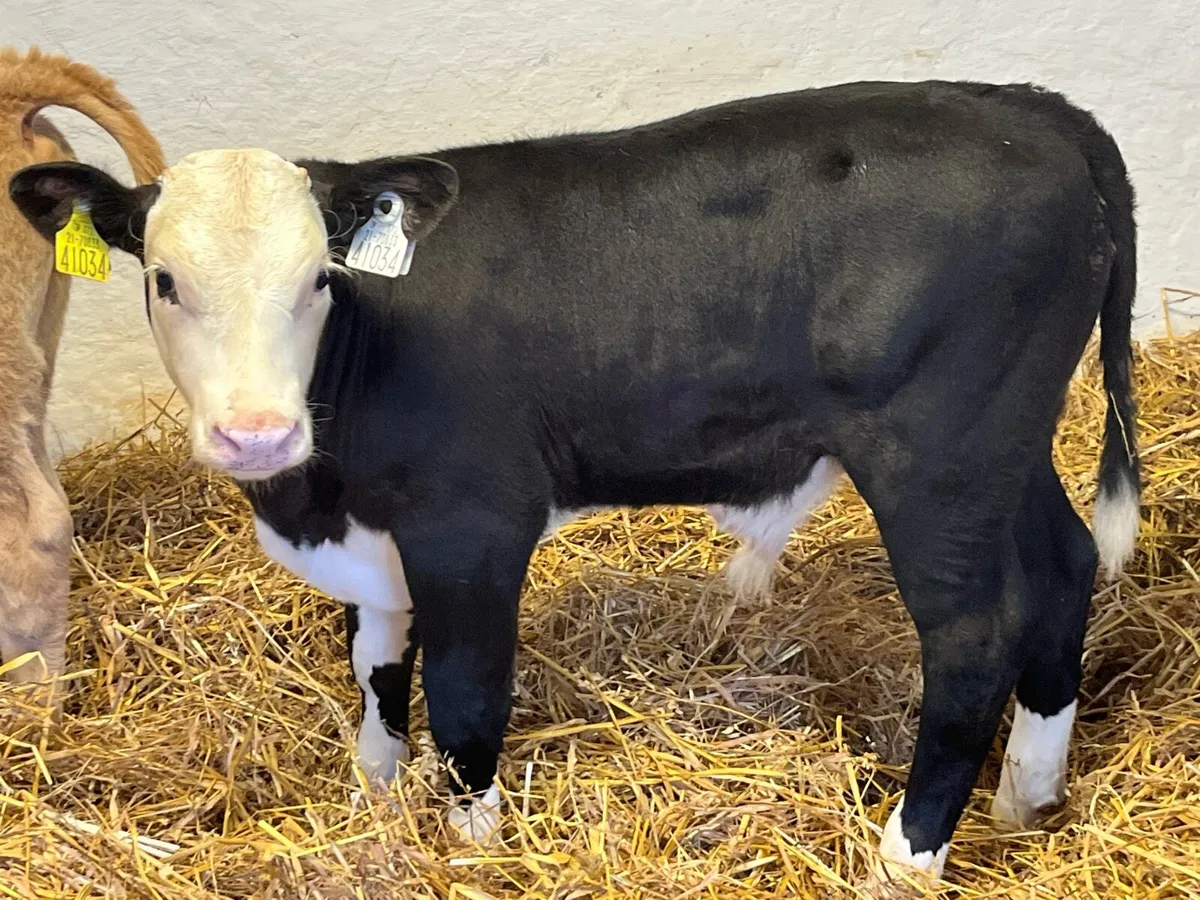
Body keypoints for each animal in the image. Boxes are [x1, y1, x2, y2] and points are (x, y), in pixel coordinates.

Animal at [10, 79, 1139, 882]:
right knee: (1065, 564)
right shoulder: (381, 537)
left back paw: (903, 861)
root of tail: (1027, 107)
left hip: (936, 457)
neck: (319, 494)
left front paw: (472, 849)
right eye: (164, 279)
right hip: (1003, 445)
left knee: (972, 637)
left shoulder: (471, 522)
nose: (256, 433)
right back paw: (1027, 800)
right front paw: (375, 806)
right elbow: (376, 670)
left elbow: (463, 694)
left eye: (321, 278)